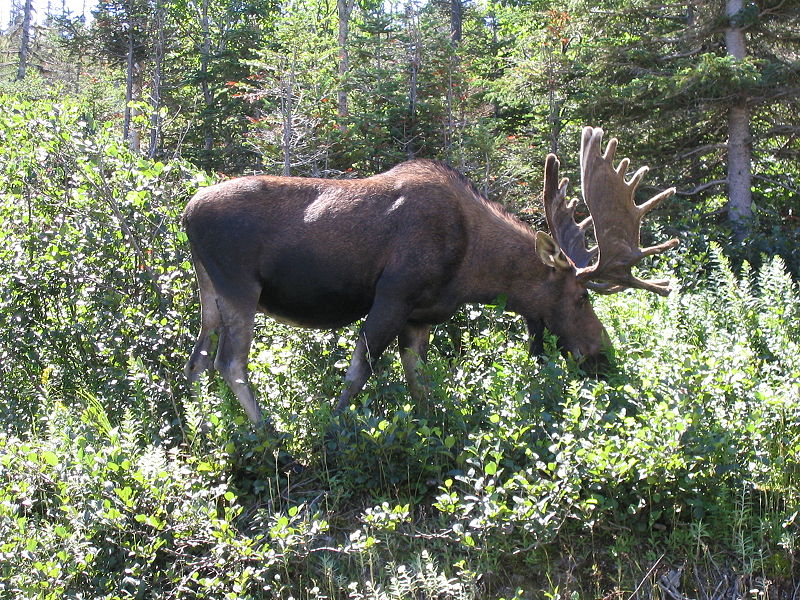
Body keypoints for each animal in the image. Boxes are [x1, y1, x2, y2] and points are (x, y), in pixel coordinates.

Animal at [184, 126, 680, 426]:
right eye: (581, 297)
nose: (603, 357)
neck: (474, 270)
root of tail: (186, 212)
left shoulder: (420, 318)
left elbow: (419, 384)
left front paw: (431, 426)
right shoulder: (393, 297)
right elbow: (358, 373)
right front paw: (334, 427)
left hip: (209, 286)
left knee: (198, 357)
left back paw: (195, 422)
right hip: (240, 285)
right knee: (230, 361)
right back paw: (269, 433)